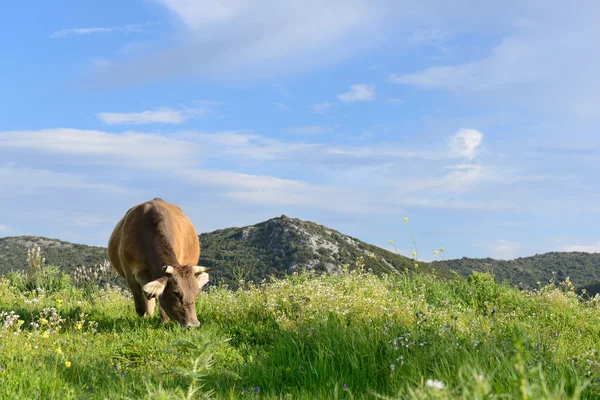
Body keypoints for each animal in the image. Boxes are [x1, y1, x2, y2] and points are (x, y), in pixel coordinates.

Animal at [106, 198, 212, 326]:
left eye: (195, 293)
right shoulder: (129, 273)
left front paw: (164, 323)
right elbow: (141, 306)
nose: (193, 324)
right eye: (176, 293)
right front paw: (142, 322)